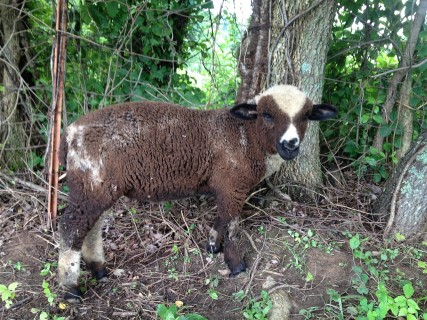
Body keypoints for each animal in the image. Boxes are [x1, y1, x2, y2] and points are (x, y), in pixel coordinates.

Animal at [56, 84, 338, 300]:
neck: (246, 136)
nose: (290, 145)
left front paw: (212, 245)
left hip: (97, 186)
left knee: (91, 227)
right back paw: (70, 288)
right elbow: (232, 224)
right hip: (91, 182)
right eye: (266, 115)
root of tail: (69, 133)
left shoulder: (226, 186)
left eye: (306, 116)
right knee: (71, 227)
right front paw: (236, 265)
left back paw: (98, 269)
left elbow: (222, 218)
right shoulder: (233, 183)